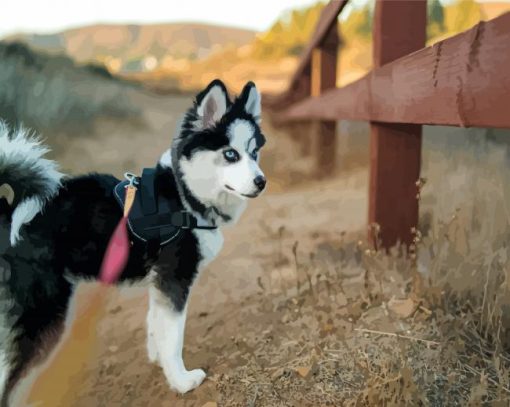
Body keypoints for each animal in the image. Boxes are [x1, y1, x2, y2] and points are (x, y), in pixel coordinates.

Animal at [0, 79, 268, 402]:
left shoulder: (160, 280)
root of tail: (11, 212)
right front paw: (181, 381)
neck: (184, 194)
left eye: (254, 153)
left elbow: (156, 324)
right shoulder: (175, 278)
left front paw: (159, 360)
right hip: (42, 313)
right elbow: (173, 336)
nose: (261, 182)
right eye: (230, 154)